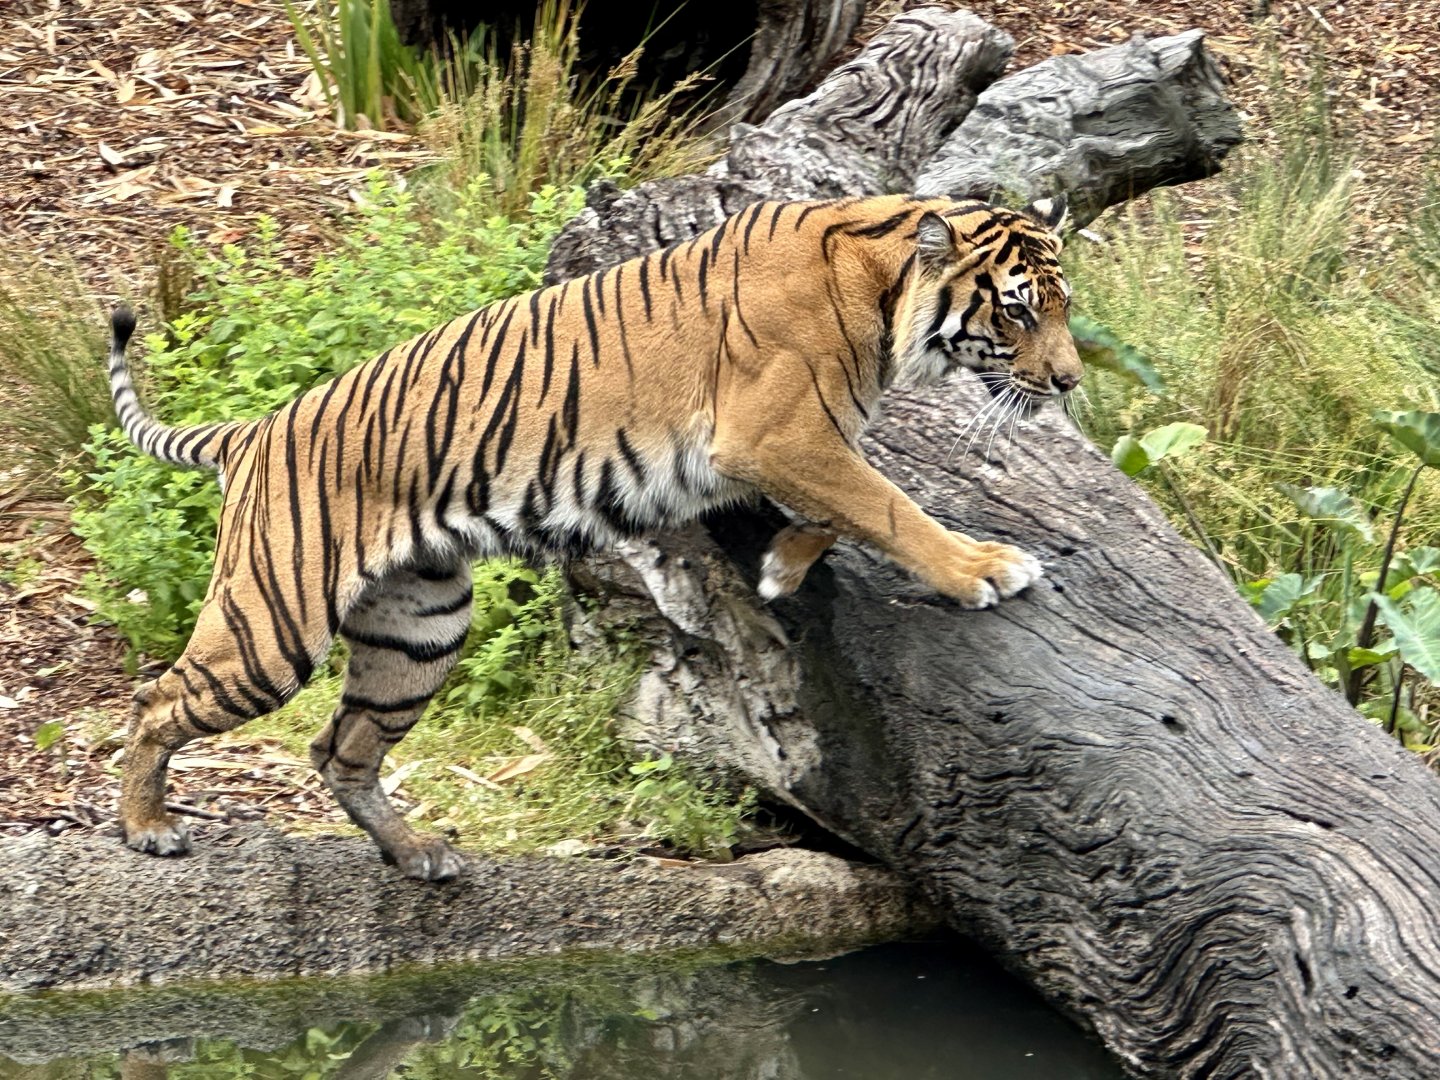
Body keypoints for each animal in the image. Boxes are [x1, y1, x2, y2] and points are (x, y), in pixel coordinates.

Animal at [106, 192, 1082, 880]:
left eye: (1065, 307)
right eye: (1019, 312)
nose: (1072, 382)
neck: (884, 289)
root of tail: (253, 431)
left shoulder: (787, 449)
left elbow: (850, 506)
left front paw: (781, 567)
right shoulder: (776, 434)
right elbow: (889, 505)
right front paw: (983, 569)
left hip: (419, 630)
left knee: (338, 749)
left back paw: (415, 853)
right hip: (273, 625)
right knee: (157, 700)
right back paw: (148, 827)